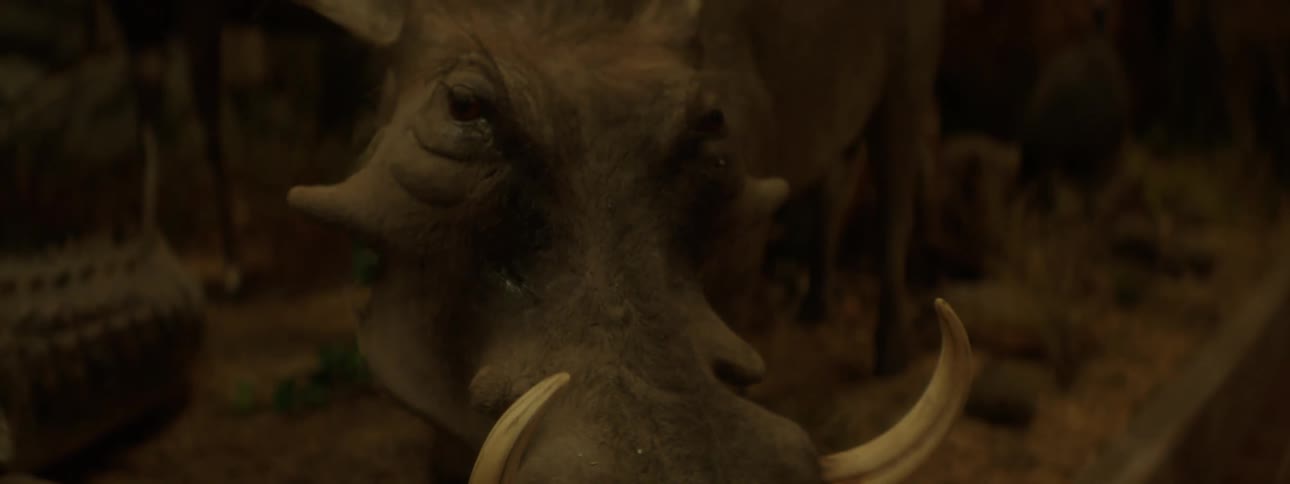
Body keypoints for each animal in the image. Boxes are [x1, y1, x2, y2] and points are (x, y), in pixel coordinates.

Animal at [286, 0, 972, 483]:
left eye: (713, 118)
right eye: (462, 105)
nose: (702, 471)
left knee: (895, 199)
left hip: (910, 77)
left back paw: (888, 358)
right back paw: (815, 310)